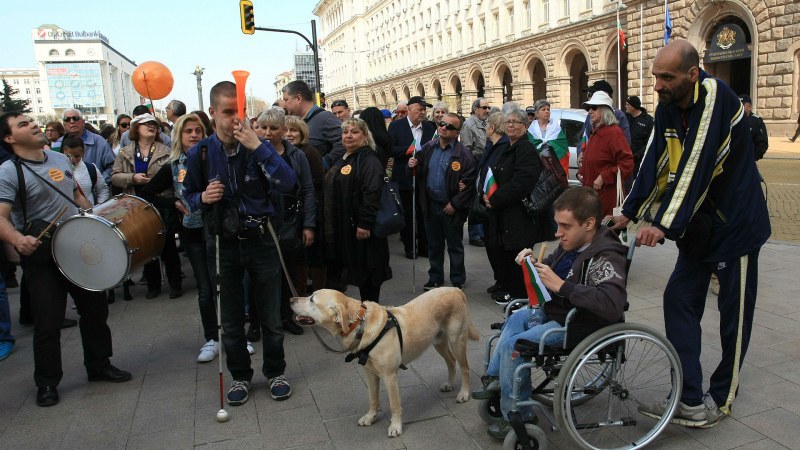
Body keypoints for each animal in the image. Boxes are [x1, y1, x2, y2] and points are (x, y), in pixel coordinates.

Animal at [290, 288, 478, 436]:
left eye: (312, 299)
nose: (291, 299)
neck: (360, 325)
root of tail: (455, 289)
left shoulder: (390, 376)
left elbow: (395, 405)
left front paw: (395, 427)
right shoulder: (370, 373)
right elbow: (373, 398)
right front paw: (370, 417)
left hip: (457, 340)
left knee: (465, 368)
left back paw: (464, 393)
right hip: (438, 342)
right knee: (451, 362)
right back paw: (449, 384)